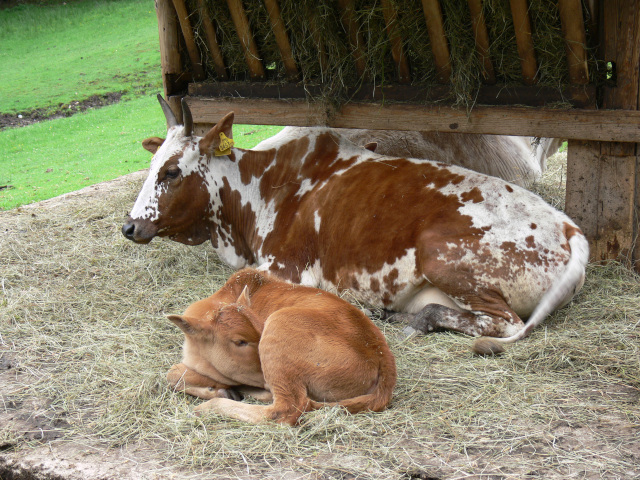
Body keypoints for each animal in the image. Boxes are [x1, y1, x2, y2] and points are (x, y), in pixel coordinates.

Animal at [122, 96, 588, 352]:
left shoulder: (285, 269)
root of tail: (572, 231)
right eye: (152, 164)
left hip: (444, 258)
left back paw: (415, 320)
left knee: (501, 322)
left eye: (171, 172)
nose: (129, 226)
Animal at [165, 268, 396, 426]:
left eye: (260, 327)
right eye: (240, 341)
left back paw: (211, 405)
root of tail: (382, 357)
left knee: (286, 409)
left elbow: (173, 373)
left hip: (279, 326)